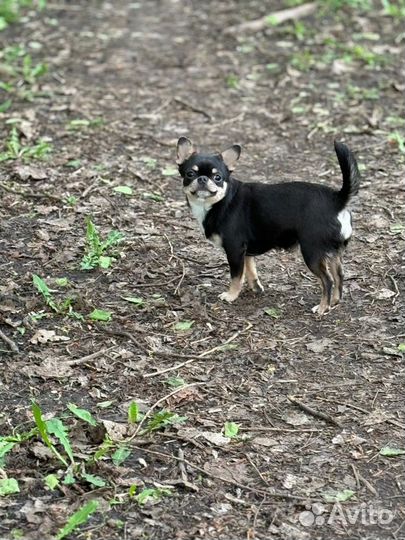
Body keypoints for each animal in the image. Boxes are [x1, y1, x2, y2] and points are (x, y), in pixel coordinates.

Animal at [175, 137, 358, 316]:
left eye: (218, 177)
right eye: (190, 174)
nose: (202, 179)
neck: (222, 201)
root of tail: (337, 200)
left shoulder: (234, 250)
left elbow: (236, 276)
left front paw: (231, 295)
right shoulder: (246, 252)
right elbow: (251, 270)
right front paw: (256, 288)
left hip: (312, 253)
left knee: (327, 280)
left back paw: (322, 308)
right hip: (333, 252)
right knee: (339, 275)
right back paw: (334, 302)